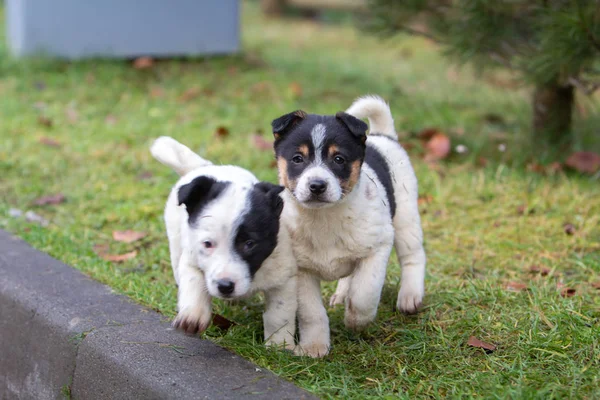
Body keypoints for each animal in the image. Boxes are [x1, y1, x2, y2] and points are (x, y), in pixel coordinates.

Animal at [150, 138, 298, 350]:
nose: (225, 286)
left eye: (250, 243)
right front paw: (193, 316)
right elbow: (194, 283)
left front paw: (280, 346)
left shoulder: (284, 278)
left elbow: (280, 314)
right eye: (207, 244)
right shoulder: (191, 260)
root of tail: (203, 167)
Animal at [272, 96, 426, 356]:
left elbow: (364, 293)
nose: (317, 186)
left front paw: (356, 321)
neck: (324, 218)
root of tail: (382, 136)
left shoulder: (379, 246)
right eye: (297, 159)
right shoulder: (301, 270)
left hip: (406, 218)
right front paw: (314, 346)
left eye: (338, 159)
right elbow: (312, 313)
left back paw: (410, 296)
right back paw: (342, 295)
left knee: (413, 256)